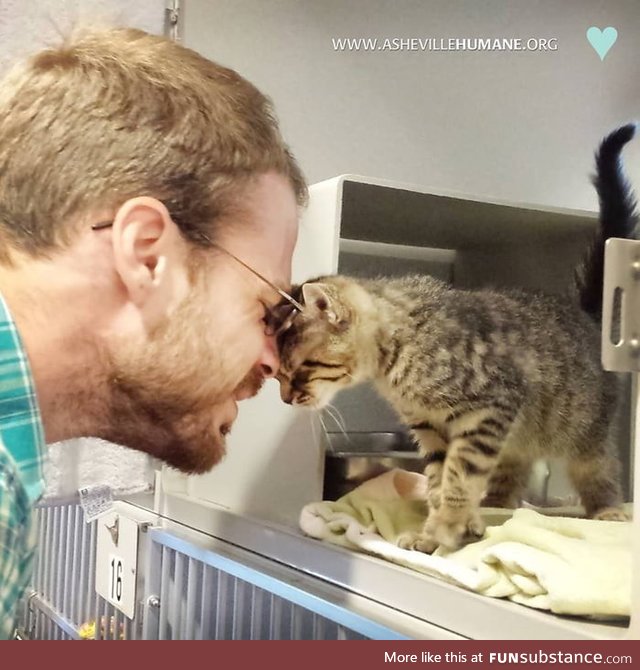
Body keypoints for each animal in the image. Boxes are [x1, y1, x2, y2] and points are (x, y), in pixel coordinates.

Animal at [278, 123, 636, 552]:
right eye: (277, 374)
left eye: (300, 368)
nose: (286, 399)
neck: (396, 358)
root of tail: (582, 314)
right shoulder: (430, 429)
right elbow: (438, 477)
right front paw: (441, 527)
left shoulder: (488, 408)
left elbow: (460, 475)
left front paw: (447, 526)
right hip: (517, 438)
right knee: (512, 473)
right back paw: (495, 505)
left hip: (584, 429)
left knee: (599, 468)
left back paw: (608, 510)